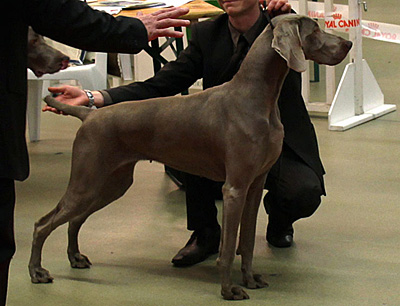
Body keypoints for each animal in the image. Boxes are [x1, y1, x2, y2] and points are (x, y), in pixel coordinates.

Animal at [29, 14, 352, 302]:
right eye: (314, 30)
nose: (348, 44)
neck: (258, 97)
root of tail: (90, 114)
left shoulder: (255, 185)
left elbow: (247, 241)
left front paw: (250, 278)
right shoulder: (234, 188)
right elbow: (228, 247)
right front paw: (229, 290)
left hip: (111, 184)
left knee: (74, 219)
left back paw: (75, 257)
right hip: (88, 181)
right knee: (43, 223)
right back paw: (37, 272)